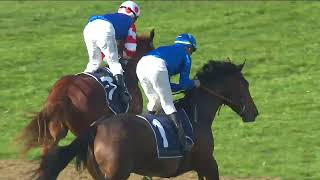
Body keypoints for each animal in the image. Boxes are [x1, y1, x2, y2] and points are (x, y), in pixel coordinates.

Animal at [35, 60, 258, 180]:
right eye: (245, 84)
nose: (254, 112)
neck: (196, 116)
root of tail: (96, 127)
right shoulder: (208, 162)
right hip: (117, 173)